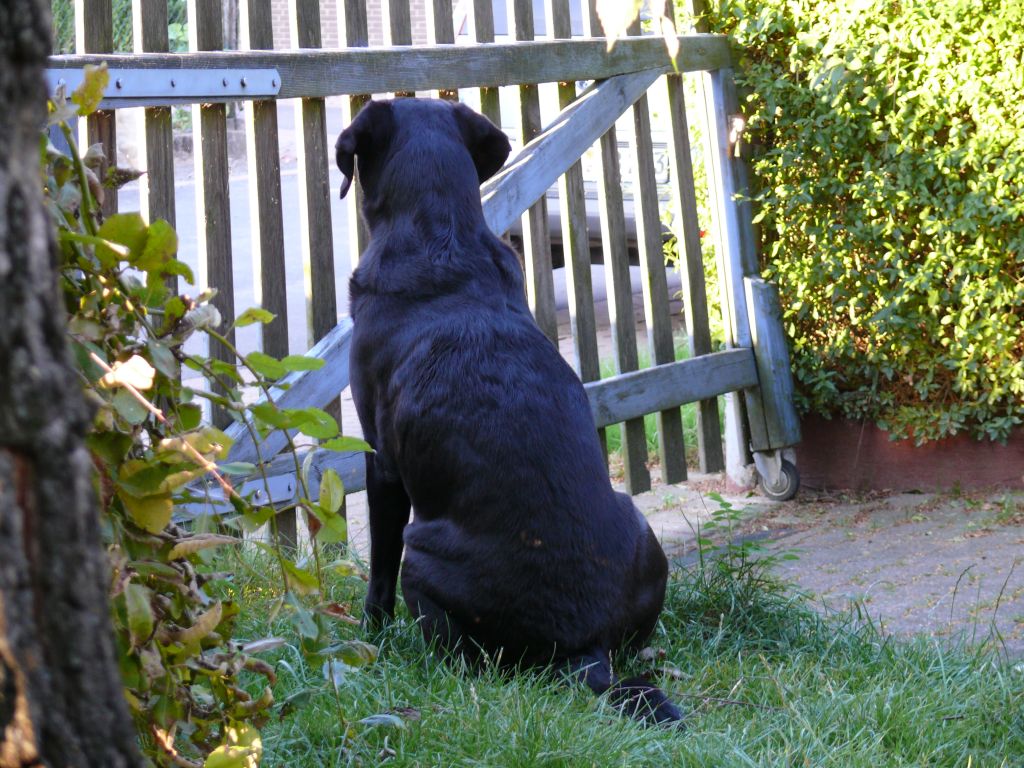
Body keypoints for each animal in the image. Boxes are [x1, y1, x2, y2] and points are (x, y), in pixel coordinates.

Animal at [336, 98, 682, 726]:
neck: (440, 234)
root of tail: (586, 648)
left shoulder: (380, 462)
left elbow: (377, 565)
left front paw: (370, 634)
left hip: (422, 553)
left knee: (466, 655)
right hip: (641, 528)